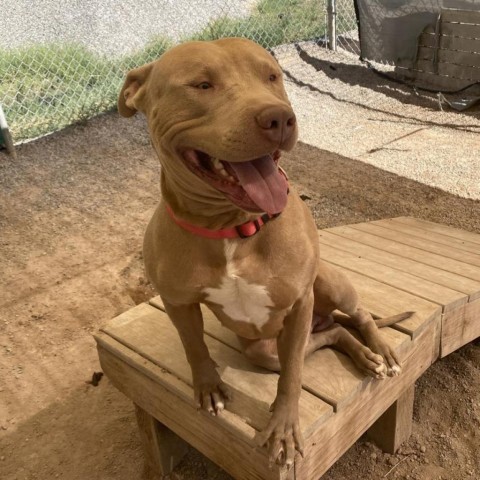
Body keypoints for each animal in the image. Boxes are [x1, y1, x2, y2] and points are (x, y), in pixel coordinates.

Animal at [118, 37, 410, 468]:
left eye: (272, 76)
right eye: (202, 84)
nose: (279, 119)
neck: (232, 227)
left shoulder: (300, 303)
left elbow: (291, 379)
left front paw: (284, 430)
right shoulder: (177, 301)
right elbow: (194, 346)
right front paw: (208, 387)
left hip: (327, 288)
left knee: (358, 317)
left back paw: (381, 352)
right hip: (265, 350)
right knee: (335, 333)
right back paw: (360, 352)